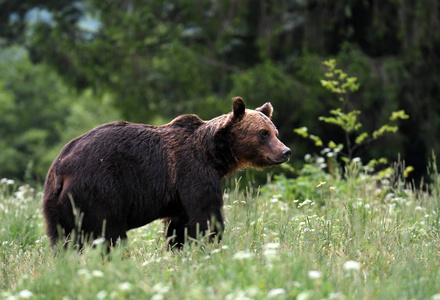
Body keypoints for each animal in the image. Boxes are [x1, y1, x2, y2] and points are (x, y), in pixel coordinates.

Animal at [41, 96, 288, 248]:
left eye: (275, 132)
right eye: (263, 133)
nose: (285, 151)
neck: (213, 154)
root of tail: (61, 168)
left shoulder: (179, 194)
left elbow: (179, 225)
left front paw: (180, 249)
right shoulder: (192, 171)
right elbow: (206, 216)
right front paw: (209, 245)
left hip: (56, 204)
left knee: (63, 239)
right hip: (100, 189)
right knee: (108, 233)